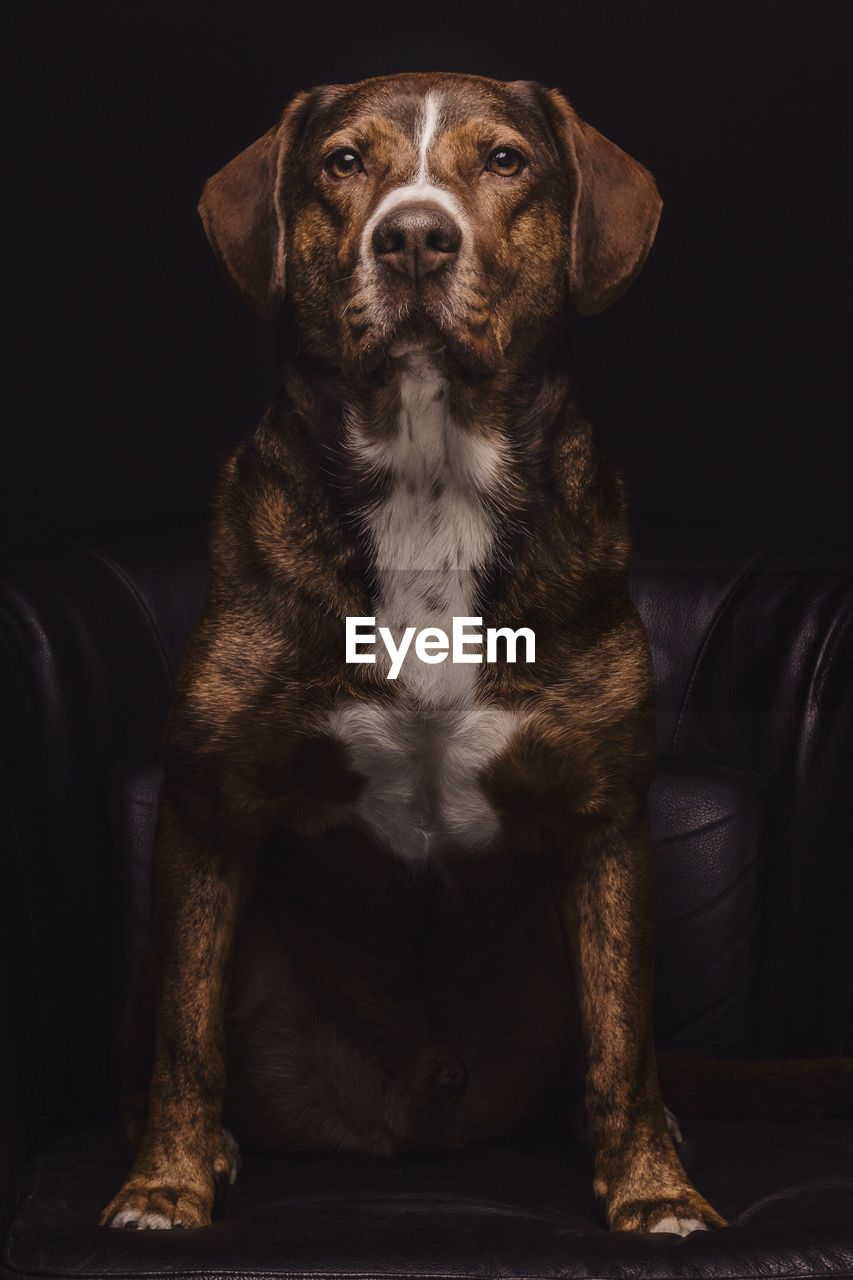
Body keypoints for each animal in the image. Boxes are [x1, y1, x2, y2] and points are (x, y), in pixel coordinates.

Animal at [99, 72, 727, 1239]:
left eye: (506, 161)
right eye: (343, 162)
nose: (416, 240)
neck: (430, 484)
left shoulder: (605, 822)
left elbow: (625, 1038)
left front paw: (655, 1191)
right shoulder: (208, 810)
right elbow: (186, 1039)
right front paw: (165, 1184)